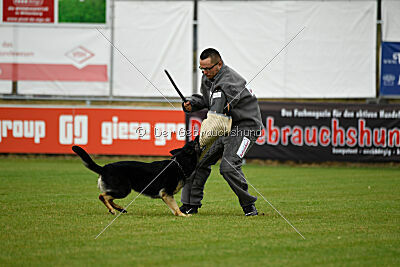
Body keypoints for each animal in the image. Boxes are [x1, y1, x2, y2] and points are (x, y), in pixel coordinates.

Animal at [72, 140, 200, 218]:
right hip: (123, 190)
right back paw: (113, 210)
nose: (197, 135)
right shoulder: (166, 193)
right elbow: (175, 207)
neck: (180, 164)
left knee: (109, 197)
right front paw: (183, 215)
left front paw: (180, 214)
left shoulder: (166, 195)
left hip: (121, 190)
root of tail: (104, 168)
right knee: (103, 196)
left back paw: (120, 209)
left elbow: (174, 208)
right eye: (195, 142)